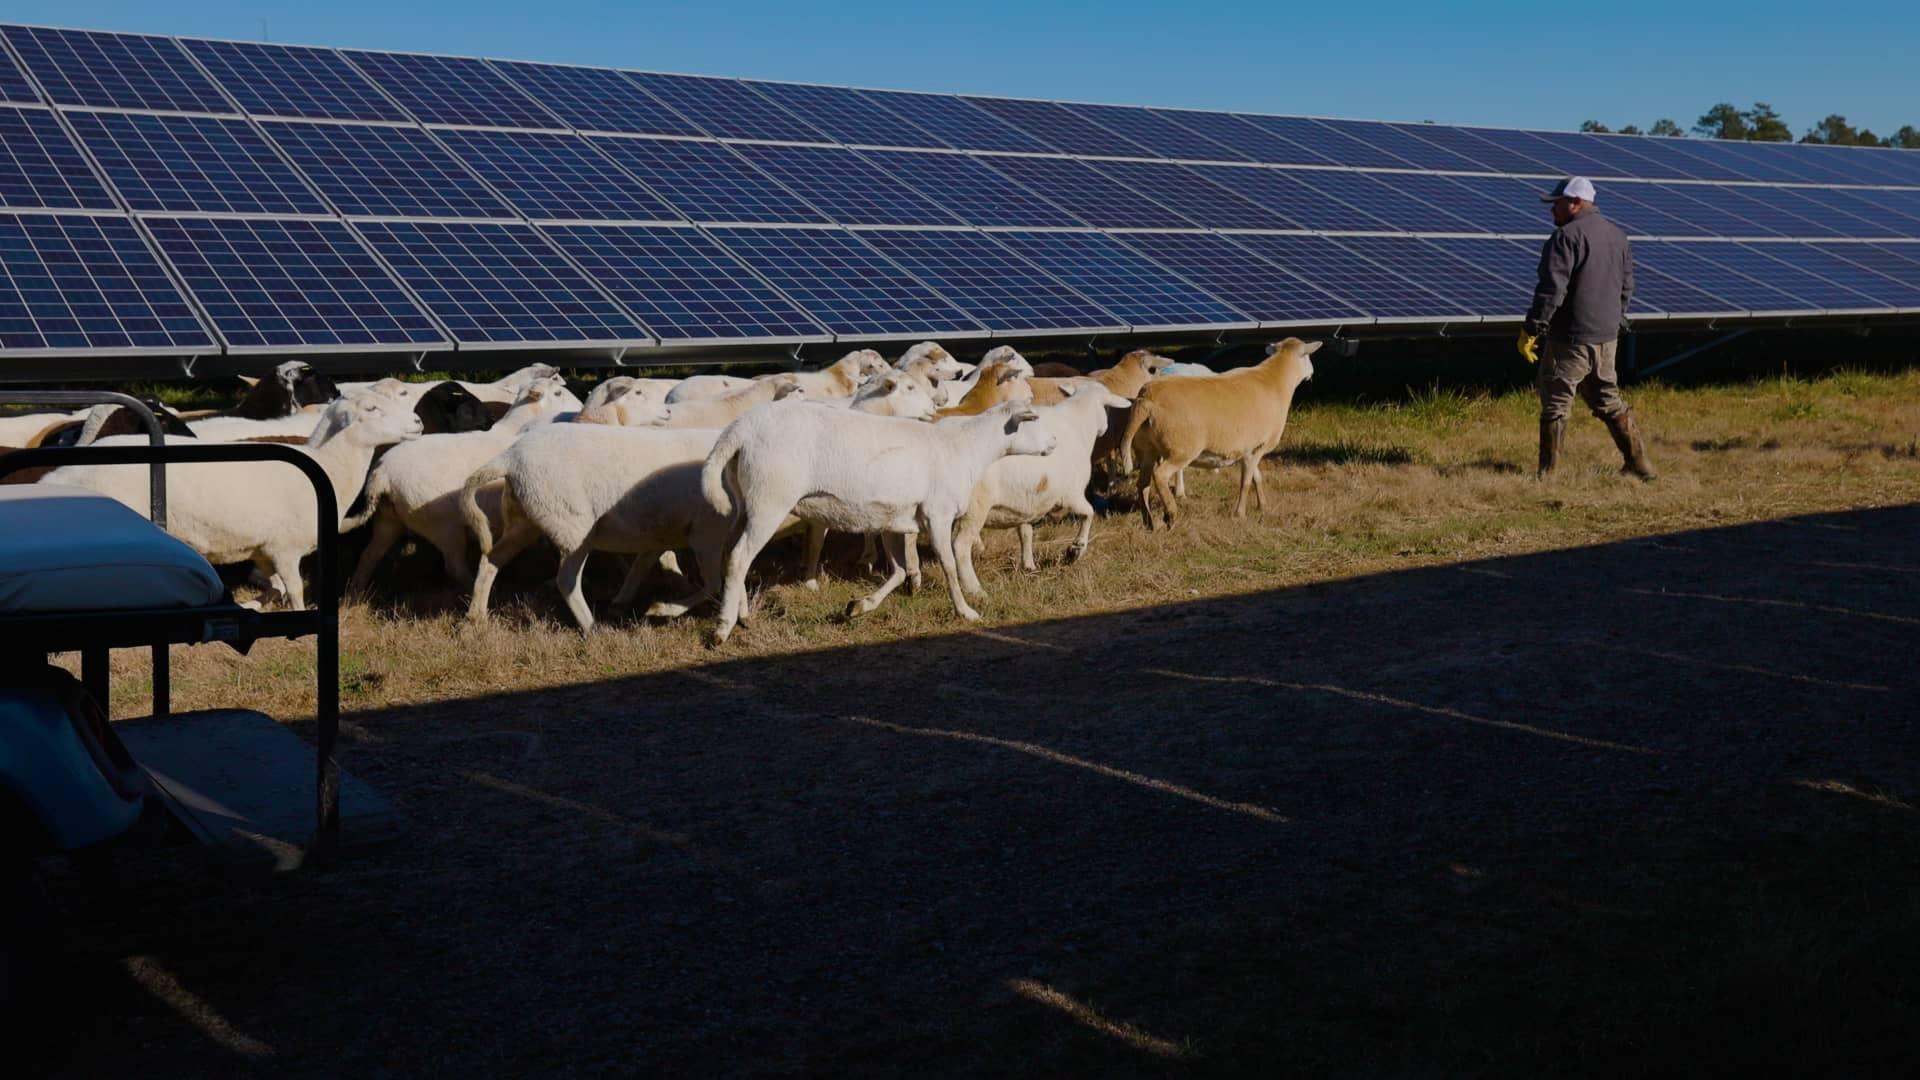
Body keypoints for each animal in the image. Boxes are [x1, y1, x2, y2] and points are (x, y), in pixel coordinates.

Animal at [43, 393, 422, 611]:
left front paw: (254, 605)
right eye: (371, 408)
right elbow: (295, 591)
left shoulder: (264, 551)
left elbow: (276, 588)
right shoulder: (285, 548)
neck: (326, 464)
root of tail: (59, 476)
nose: (418, 422)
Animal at [702, 397, 1059, 638]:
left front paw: (858, 607)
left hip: (743, 504)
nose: (1055, 442)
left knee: (730, 554)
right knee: (740, 557)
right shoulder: (938, 513)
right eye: (1034, 419)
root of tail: (740, 429)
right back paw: (722, 629)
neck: (967, 447)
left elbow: (900, 571)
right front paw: (967, 611)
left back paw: (742, 616)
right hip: (769, 501)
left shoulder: (893, 520)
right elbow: (949, 565)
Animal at [1121, 332, 1320, 526]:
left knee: (1143, 483)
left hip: (1147, 449)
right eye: (1307, 356)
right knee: (1160, 475)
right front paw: (1240, 515)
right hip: (1180, 449)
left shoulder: (1250, 448)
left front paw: (1262, 506)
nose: (1312, 373)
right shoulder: (1258, 448)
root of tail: (1147, 399)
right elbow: (1245, 482)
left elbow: (1256, 477)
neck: (1275, 379)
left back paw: (1148, 521)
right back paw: (1170, 514)